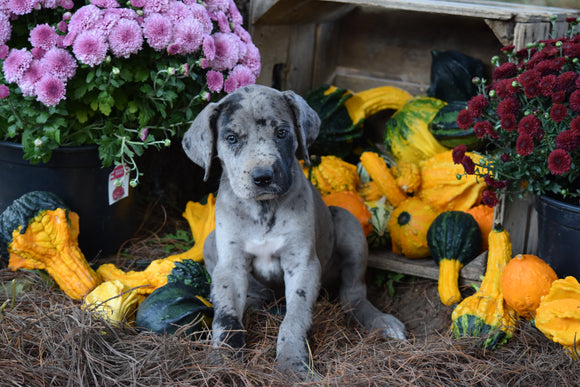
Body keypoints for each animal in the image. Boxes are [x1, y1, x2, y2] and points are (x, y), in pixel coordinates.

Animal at [184, 84, 406, 376]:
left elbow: (295, 318)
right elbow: (226, 318)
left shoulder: (302, 265)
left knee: (353, 296)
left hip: (348, 223)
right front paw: (222, 361)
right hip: (210, 243)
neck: (263, 209)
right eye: (231, 138)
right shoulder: (229, 266)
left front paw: (291, 362)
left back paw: (382, 322)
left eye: (282, 132)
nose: (263, 177)